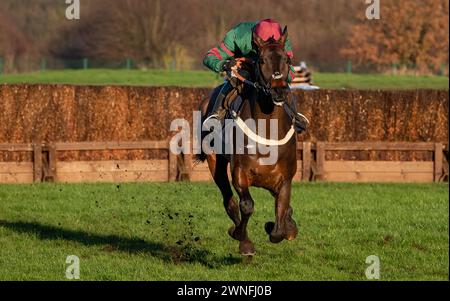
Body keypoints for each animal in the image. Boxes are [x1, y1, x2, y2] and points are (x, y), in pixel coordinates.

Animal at [197, 26, 298, 255]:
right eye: (261, 60)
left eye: (287, 60)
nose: (279, 90)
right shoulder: (240, 173)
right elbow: (247, 205)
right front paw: (244, 241)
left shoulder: (285, 179)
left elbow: (281, 220)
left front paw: (281, 226)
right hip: (215, 162)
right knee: (229, 201)